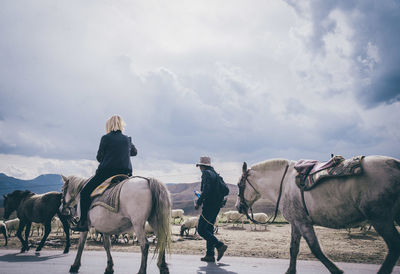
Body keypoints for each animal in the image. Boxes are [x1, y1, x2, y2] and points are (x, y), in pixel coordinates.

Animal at [238, 155, 400, 274]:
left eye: (240, 184)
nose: (238, 207)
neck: (283, 184)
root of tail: (395, 164)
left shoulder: (303, 223)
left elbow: (315, 249)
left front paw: (337, 270)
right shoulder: (295, 223)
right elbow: (293, 249)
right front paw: (290, 271)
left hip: (381, 219)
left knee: (394, 246)